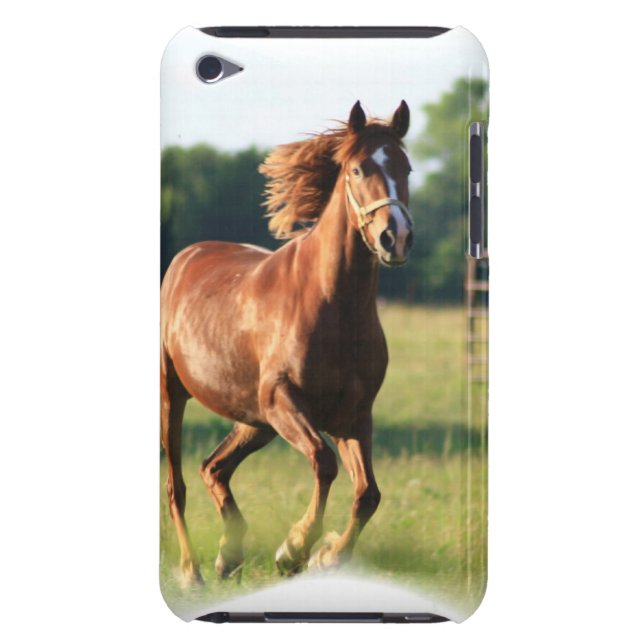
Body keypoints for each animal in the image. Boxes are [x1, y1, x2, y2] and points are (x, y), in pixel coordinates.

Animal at [160, 100, 413, 585]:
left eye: (406, 167)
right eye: (358, 169)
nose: (396, 237)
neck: (332, 306)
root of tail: (185, 257)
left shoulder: (353, 416)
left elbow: (368, 493)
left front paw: (327, 555)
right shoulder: (283, 400)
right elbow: (323, 461)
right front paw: (294, 549)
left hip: (253, 419)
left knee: (213, 467)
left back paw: (229, 555)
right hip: (177, 396)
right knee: (176, 484)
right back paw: (191, 569)